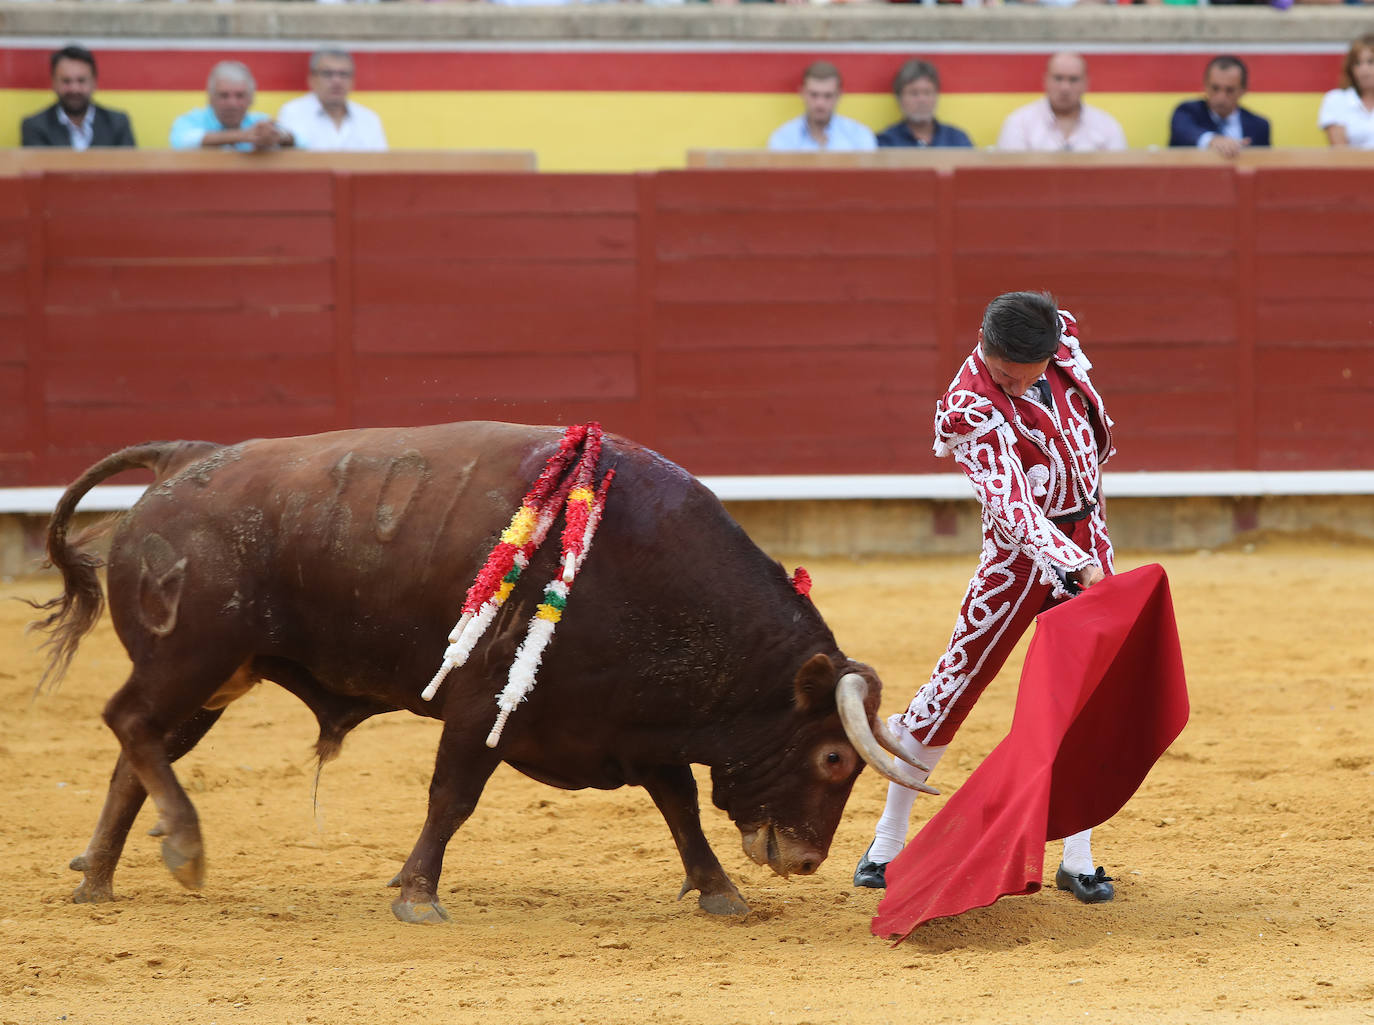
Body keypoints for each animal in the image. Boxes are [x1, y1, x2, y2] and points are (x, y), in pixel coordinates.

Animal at [34, 417, 934, 917]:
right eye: (833, 757)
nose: (808, 860)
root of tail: (186, 458)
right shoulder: (482, 707)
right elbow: (452, 797)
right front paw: (416, 895)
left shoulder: (636, 724)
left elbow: (679, 807)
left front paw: (720, 893)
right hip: (192, 657)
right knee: (126, 723)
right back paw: (183, 849)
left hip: (212, 679)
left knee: (136, 753)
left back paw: (100, 878)